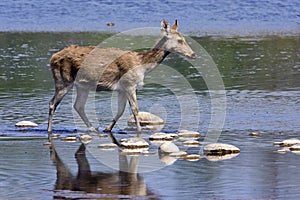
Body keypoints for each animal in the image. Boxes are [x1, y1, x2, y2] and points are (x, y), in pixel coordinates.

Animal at [47, 19, 195, 134]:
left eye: (185, 39)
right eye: (180, 40)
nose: (193, 54)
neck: (142, 65)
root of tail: (52, 58)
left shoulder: (122, 89)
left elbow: (120, 111)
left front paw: (107, 128)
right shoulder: (130, 84)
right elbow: (135, 110)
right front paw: (139, 131)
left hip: (82, 86)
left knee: (78, 106)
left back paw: (93, 129)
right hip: (63, 80)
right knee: (52, 103)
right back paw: (49, 129)